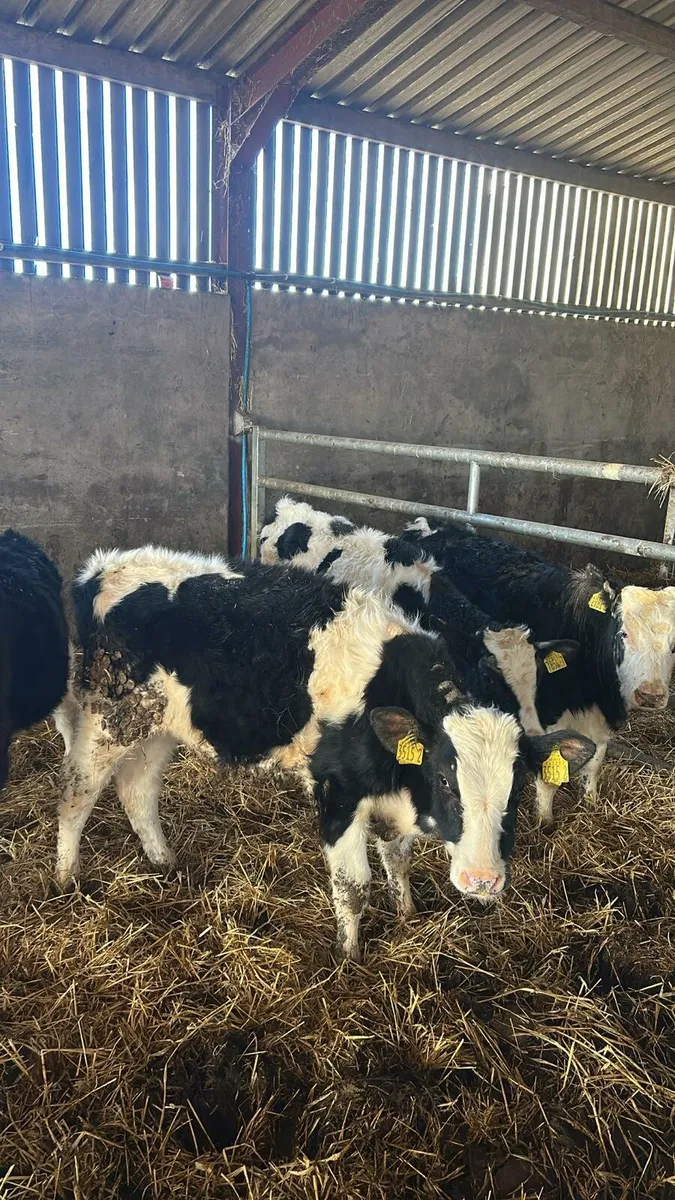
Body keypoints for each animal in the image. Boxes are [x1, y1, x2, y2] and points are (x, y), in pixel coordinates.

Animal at [61, 544, 595, 961]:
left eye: (517, 788)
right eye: (446, 778)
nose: (482, 880)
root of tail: (102, 567)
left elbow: (397, 857)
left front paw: (407, 912)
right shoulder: (339, 792)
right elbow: (354, 885)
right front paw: (349, 954)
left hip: (157, 727)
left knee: (138, 789)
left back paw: (163, 861)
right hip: (104, 720)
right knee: (76, 796)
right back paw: (66, 879)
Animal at [402, 517, 675, 825]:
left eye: (674, 644)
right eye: (624, 634)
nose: (650, 694)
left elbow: (595, 762)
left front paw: (591, 801)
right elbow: (549, 774)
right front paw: (545, 820)